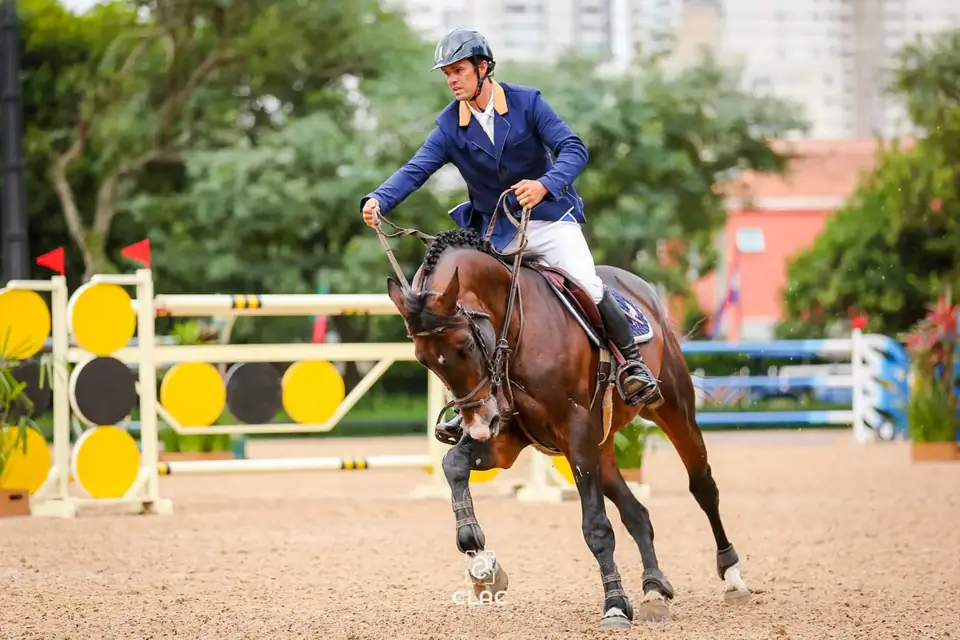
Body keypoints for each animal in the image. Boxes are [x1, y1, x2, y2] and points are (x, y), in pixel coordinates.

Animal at [380, 222, 751, 629]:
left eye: (465, 345)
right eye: (424, 360)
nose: (478, 425)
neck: (514, 328)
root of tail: (640, 287)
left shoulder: (574, 433)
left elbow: (597, 528)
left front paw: (615, 605)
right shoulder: (507, 439)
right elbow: (453, 465)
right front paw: (480, 560)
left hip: (672, 411)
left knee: (702, 486)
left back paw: (731, 576)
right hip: (600, 448)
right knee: (637, 512)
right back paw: (654, 589)